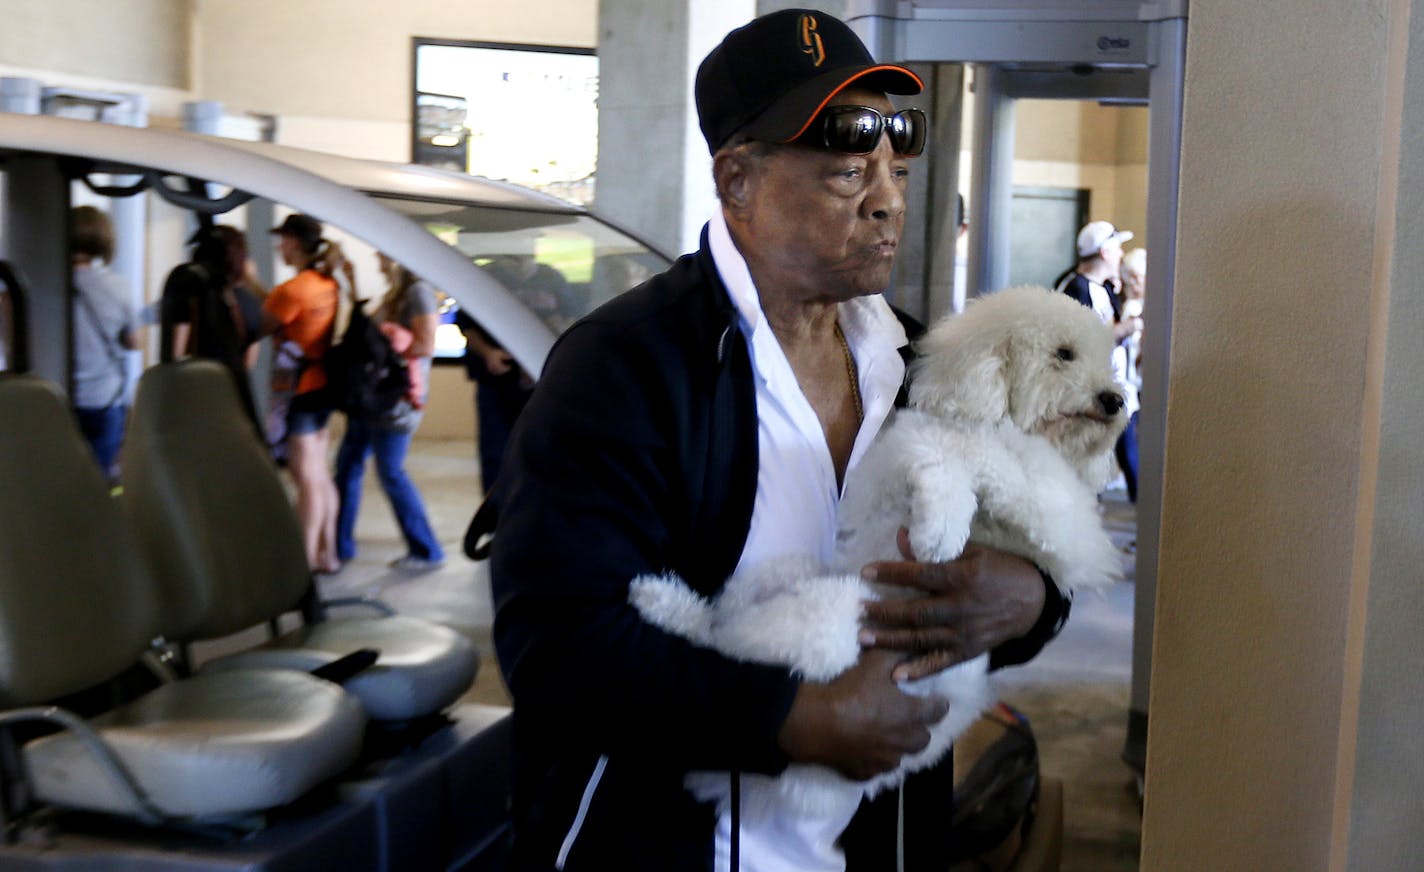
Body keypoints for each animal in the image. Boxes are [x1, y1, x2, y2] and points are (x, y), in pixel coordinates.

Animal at [629, 286, 1127, 826]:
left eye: (1105, 359)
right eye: (1064, 354)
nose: (1116, 399)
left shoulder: (1064, 521)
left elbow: (990, 461)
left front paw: (944, 524)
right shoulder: (905, 457)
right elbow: (952, 454)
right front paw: (941, 525)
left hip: (825, 612)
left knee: (722, 635)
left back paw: (662, 602)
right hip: (807, 596)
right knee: (722, 631)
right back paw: (662, 600)